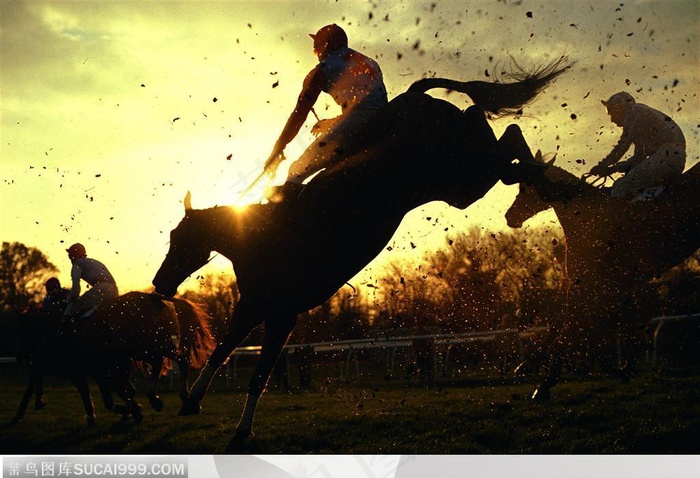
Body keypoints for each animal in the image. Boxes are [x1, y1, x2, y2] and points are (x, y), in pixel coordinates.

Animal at [150, 58, 572, 450]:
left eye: (181, 238)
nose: (159, 283)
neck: (256, 237)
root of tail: (414, 96)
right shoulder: (254, 307)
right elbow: (222, 351)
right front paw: (192, 402)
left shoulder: (279, 313)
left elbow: (256, 375)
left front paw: (239, 433)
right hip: (461, 179)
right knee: (496, 136)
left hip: (464, 176)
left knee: (505, 147)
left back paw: (543, 173)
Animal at [506, 155, 696, 398]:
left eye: (525, 186)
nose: (510, 216)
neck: (586, 217)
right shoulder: (594, 285)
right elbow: (563, 325)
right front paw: (527, 365)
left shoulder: (590, 285)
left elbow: (569, 329)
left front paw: (545, 383)